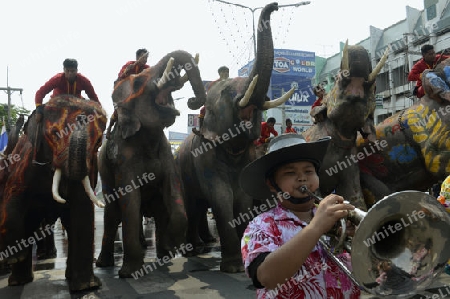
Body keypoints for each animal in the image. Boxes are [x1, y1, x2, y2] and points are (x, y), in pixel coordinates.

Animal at [0, 96, 107, 292]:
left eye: (98, 143)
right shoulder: (24, 163)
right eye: (55, 134)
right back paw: (18, 281)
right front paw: (12, 257)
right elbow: (13, 196)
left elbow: (82, 210)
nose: (82, 117)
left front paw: (86, 287)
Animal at [96, 48, 207, 278]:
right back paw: (104, 264)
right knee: (112, 214)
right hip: (104, 172)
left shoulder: (166, 155)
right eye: (138, 83)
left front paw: (175, 244)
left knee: (158, 209)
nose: (193, 101)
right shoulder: (123, 158)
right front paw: (129, 273)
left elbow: (173, 190)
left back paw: (163, 256)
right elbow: (129, 199)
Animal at [175, 2, 292, 274]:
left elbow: (242, 196)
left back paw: (202, 246)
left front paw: (242, 261)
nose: (274, 6)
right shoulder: (205, 155)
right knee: (192, 205)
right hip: (181, 170)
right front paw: (233, 268)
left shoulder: (247, 156)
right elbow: (221, 196)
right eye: (228, 92)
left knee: (198, 206)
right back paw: (193, 251)